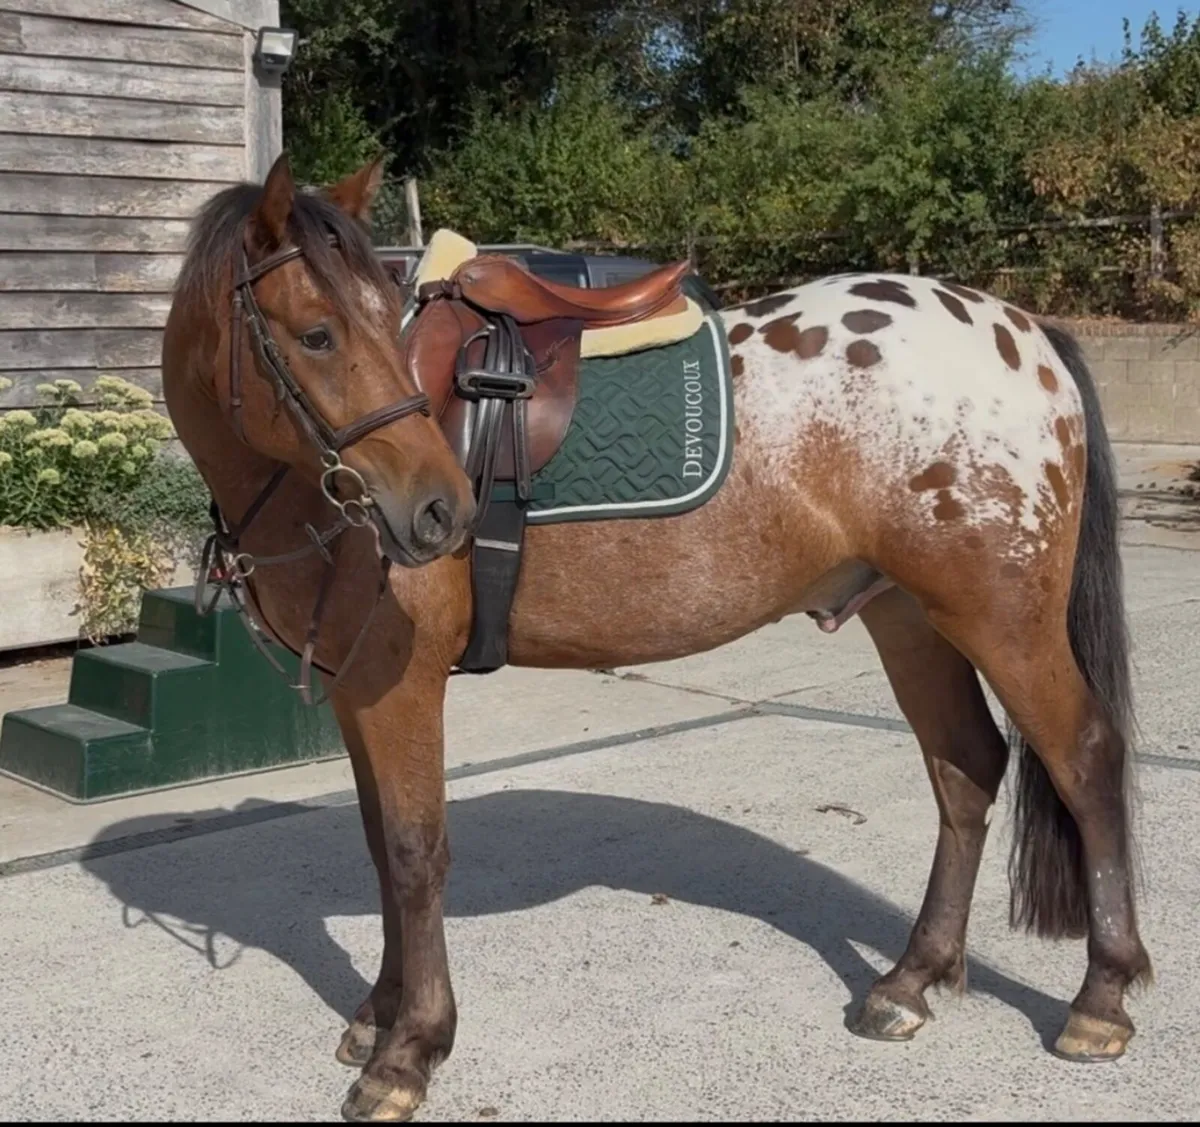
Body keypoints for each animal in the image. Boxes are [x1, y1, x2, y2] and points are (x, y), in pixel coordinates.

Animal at [161, 153, 1152, 1122]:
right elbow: (378, 843)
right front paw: (378, 1013)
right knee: (965, 768)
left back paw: (1100, 999)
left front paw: (410, 1050)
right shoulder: (356, 688)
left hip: (1002, 618)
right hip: (911, 616)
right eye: (317, 335)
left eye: (369, 324)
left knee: (1083, 757)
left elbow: (413, 852)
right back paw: (910, 980)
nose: (439, 512)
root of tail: (1028, 332)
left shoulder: (398, 682)